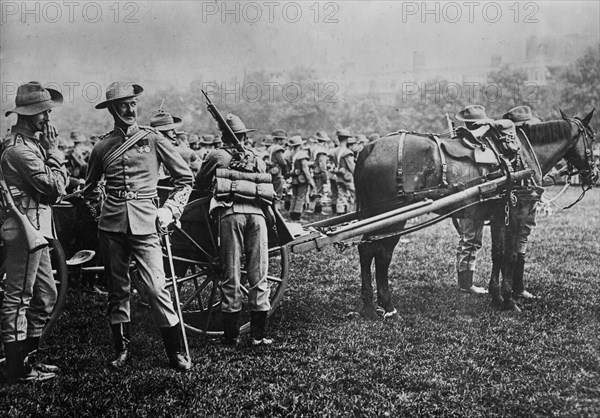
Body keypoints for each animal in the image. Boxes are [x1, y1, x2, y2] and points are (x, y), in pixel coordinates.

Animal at [354, 108, 596, 316]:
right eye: (592, 138)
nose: (592, 175)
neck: (522, 154)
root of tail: (369, 147)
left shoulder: (499, 215)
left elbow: (498, 255)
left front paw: (497, 297)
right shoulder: (516, 213)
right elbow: (511, 255)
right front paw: (510, 300)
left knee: (366, 250)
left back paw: (369, 305)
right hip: (392, 219)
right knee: (381, 255)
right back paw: (387, 306)